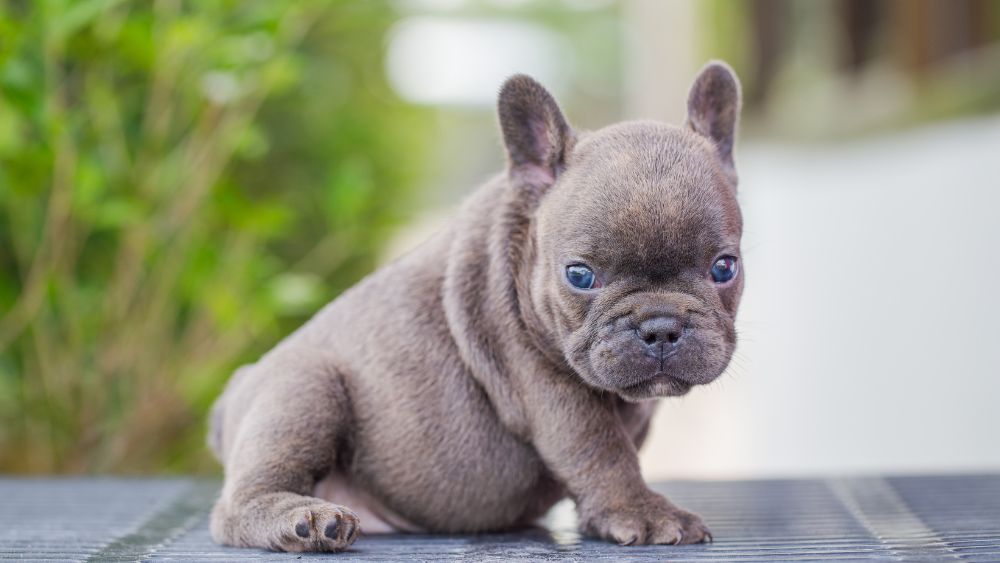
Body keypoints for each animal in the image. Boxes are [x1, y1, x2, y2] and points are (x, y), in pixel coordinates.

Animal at [209, 60, 744, 552]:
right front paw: (642, 511)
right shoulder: (548, 386)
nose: (661, 325)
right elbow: (601, 450)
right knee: (236, 504)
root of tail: (233, 395)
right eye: (579, 275)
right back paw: (304, 519)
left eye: (724, 268)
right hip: (303, 390)